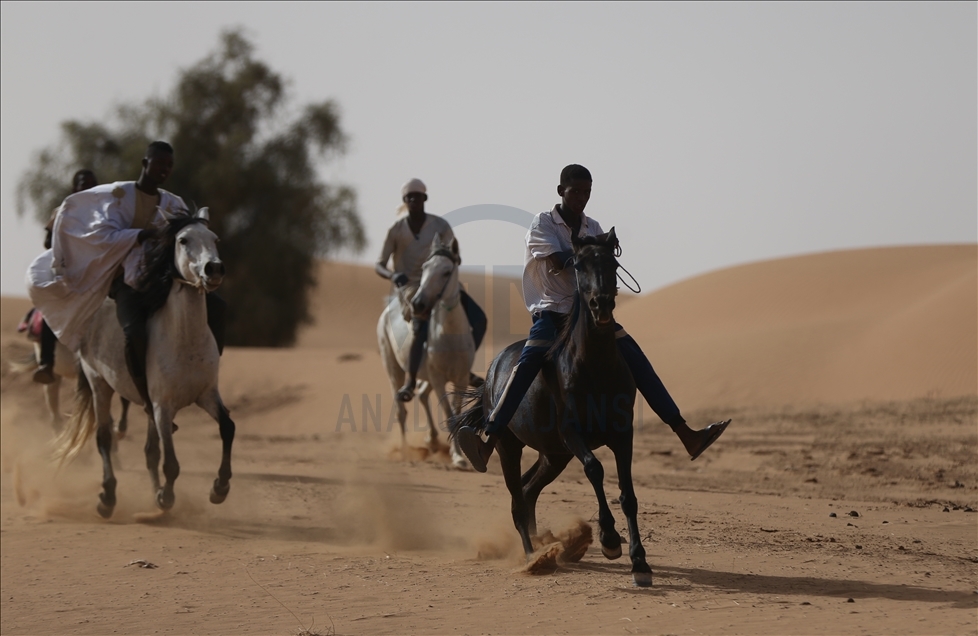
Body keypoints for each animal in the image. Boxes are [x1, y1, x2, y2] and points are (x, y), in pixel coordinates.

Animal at [54, 206, 234, 520]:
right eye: (183, 240)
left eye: (215, 239)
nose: (214, 269)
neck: (185, 341)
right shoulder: (163, 407)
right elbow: (171, 463)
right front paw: (166, 498)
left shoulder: (207, 395)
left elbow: (227, 428)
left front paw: (219, 488)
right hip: (99, 384)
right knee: (104, 438)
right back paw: (108, 498)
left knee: (149, 450)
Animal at [452, 227, 652, 588]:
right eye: (578, 264)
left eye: (613, 263)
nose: (601, 304)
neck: (595, 366)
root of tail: (493, 369)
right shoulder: (573, 433)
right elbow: (595, 470)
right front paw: (610, 540)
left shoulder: (622, 434)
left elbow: (628, 494)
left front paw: (639, 562)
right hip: (510, 447)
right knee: (518, 499)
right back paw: (534, 556)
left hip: (554, 455)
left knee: (528, 491)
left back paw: (546, 544)